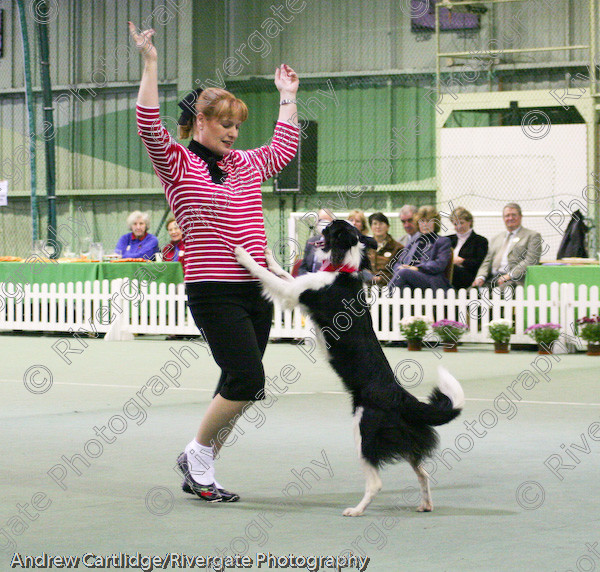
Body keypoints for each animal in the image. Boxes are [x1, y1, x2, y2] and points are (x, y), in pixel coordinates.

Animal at [234, 221, 464, 516]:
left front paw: (243, 255)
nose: (317, 222)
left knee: (376, 482)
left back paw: (356, 510)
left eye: (331, 228)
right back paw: (425, 504)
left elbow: (268, 275)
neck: (341, 270)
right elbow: (283, 273)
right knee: (423, 472)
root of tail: (400, 395)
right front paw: (270, 256)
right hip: (402, 437)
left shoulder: (294, 294)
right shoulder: (299, 285)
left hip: (363, 429)